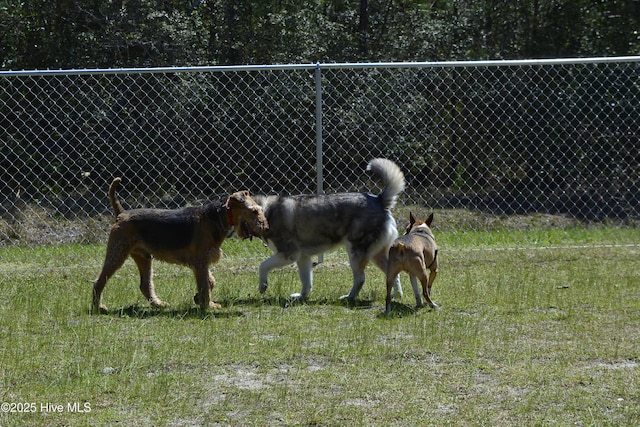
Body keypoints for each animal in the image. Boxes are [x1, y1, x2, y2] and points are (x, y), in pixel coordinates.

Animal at [92, 177, 268, 314]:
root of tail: (121, 213)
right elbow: (205, 285)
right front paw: (208, 306)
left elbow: (210, 281)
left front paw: (199, 299)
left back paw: (159, 304)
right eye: (254, 211)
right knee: (99, 282)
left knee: (145, 284)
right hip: (117, 253)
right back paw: (99, 307)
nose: (266, 228)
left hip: (143, 257)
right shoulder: (200, 262)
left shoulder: (202, 262)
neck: (215, 217)